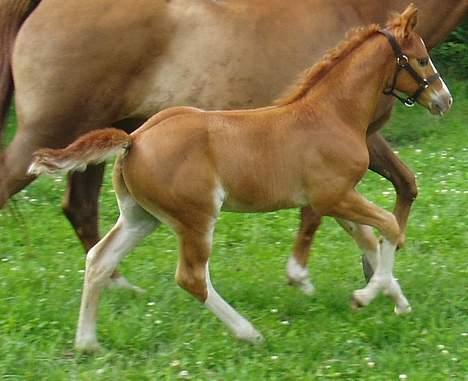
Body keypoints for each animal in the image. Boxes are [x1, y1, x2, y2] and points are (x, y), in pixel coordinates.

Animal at [30, 5, 454, 348]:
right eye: (420, 60)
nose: (444, 100)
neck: (330, 114)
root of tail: (135, 138)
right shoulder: (333, 197)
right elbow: (389, 228)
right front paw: (365, 297)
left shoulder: (335, 200)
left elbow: (369, 239)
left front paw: (398, 303)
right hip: (196, 218)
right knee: (192, 278)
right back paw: (249, 333)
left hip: (141, 217)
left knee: (99, 259)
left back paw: (87, 344)